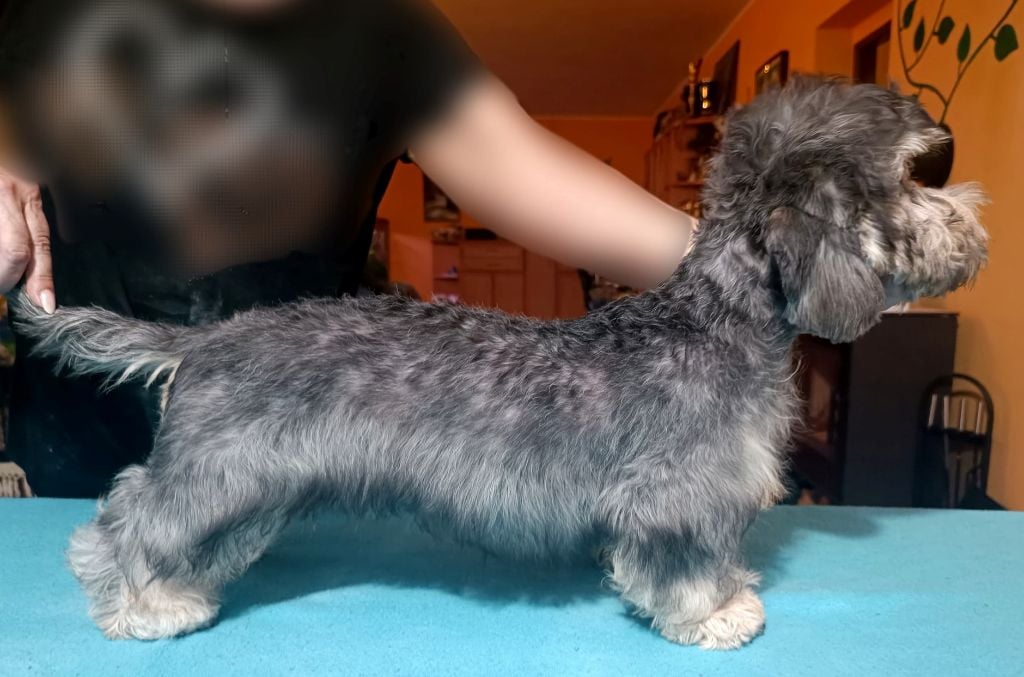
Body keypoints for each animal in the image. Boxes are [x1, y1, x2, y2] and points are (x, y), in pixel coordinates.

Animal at [14, 76, 988, 648]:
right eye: (913, 178)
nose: (973, 223)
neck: (717, 319)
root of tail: (205, 340)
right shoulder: (677, 496)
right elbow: (683, 563)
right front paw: (711, 614)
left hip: (251, 488)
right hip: (216, 474)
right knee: (127, 516)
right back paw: (136, 602)